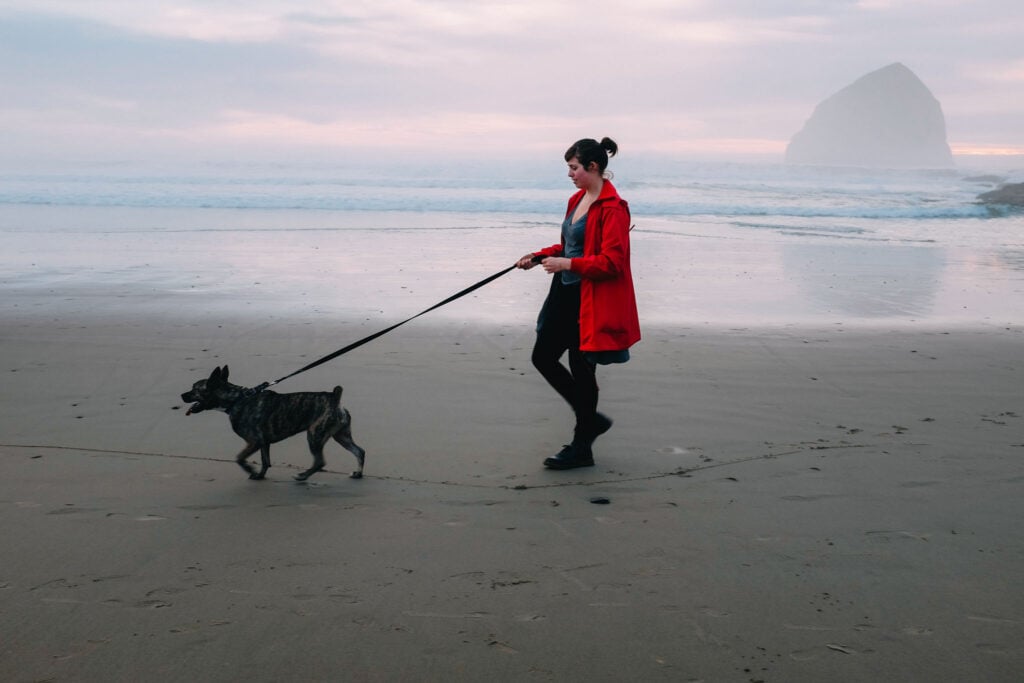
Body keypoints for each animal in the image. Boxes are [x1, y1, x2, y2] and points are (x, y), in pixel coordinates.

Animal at [182, 366, 366, 483]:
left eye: (195, 389)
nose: (182, 395)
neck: (237, 399)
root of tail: (334, 398)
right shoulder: (264, 443)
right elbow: (265, 461)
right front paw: (259, 476)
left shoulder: (254, 442)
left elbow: (239, 458)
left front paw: (250, 470)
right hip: (341, 435)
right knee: (359, 451)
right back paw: (358, 473)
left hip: (315, 435)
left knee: (320, 462)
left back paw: (302, 476)